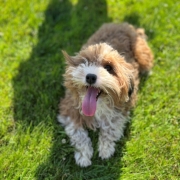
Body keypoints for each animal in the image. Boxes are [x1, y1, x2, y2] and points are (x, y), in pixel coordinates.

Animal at [58, 22, 153, 167]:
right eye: (85, 62)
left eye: (109, 68)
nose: (90, 77)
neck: (98, 105)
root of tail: (124, 24)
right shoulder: (69, 108)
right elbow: (77, 132)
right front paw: (83, 155)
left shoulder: (121, 109)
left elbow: (110, 127)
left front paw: (105, 148)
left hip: (143, 55)